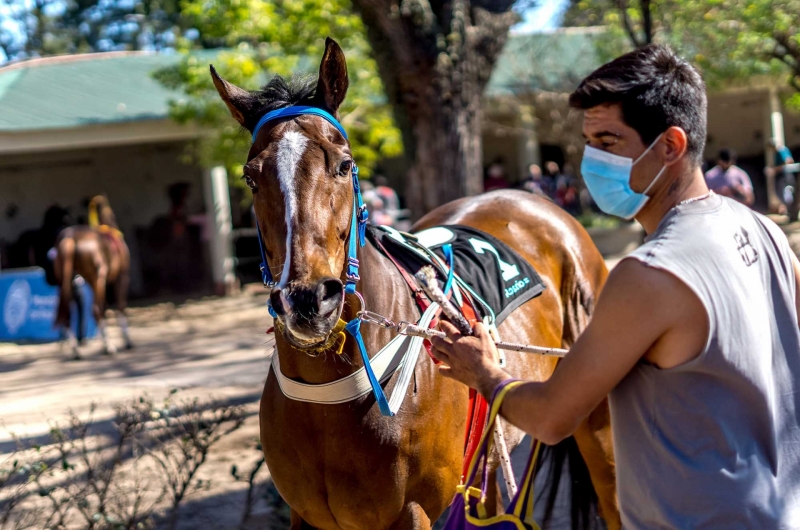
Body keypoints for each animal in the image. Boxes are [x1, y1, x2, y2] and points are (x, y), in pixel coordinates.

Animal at [53, 195, 132, 358]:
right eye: (112, 214)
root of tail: (69, 238)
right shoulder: (122, 277)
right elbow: (121, 306)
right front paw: (126, 339)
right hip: (98, 279)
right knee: (96, 309)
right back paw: (108, 346)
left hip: (64, 282)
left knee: (68, 314)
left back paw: (76, 350)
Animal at [212, 38, 620, 528]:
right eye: (250, 177)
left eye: (344, 164)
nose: (308, 300)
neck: (330, 397)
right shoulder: (305, 516)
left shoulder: (412, 511)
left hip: (595, 416)